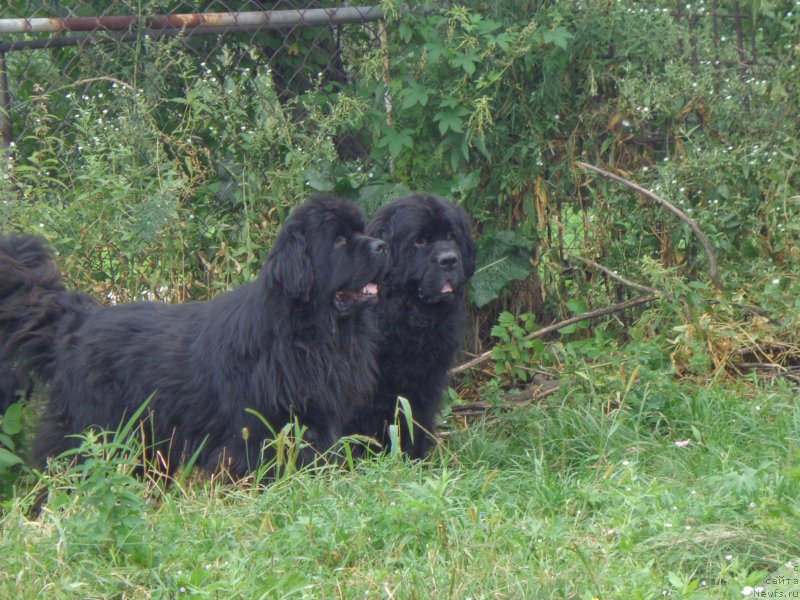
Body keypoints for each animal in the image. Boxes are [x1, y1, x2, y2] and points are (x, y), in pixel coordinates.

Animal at [0, 196, 388, 478]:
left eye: (361, 230)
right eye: (338, 240)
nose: (382, 245)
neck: (308, 332)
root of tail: (81, 321)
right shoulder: (255, 433)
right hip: (94, 431)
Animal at [346, 195, 476, 458]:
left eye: (451, 236)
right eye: (419, 241)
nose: (449, 260)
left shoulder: (426, 381)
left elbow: (413, 418)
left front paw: (412, 456)